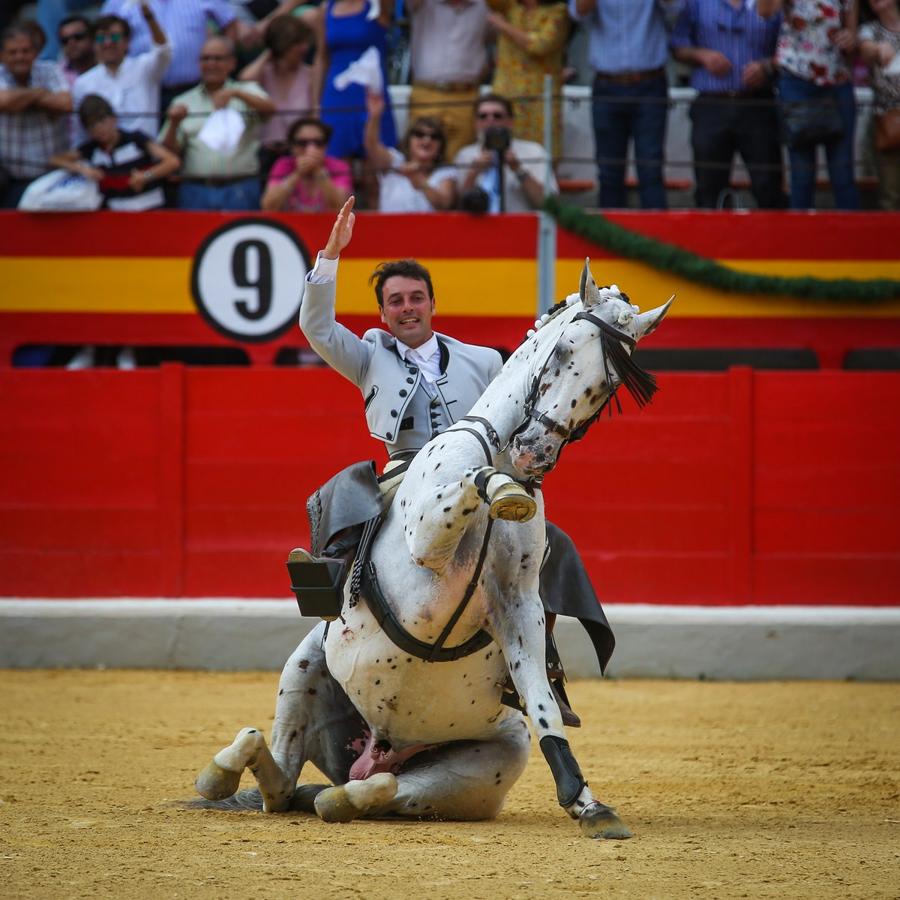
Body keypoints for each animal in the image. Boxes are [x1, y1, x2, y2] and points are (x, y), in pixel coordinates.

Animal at [199, 260, 676, 836]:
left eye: (610, 383)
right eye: (564, 351)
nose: (534, 454)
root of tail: (374, 749)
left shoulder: (519, 604)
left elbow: (541, 700)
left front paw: (587, 804)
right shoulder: (426, 548)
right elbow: (473, 479)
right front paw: (505, 490)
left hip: (481, 764)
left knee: (366, 789)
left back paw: (343, 796)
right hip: (304, 666)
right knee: (277, 771)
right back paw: (220, 773)